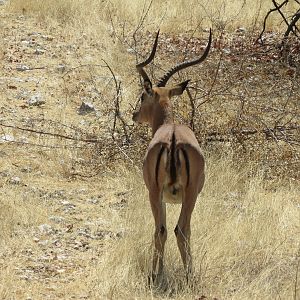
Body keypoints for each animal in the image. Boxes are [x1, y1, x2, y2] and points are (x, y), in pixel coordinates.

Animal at [132, 29, 212, 280]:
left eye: (143, 96)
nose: (134, 115)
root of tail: (174, 139)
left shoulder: (160, 195)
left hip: (161, 193)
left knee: (168, 230)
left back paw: (160, 275)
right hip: (187, 194)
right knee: (177, 230)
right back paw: (185, 276)